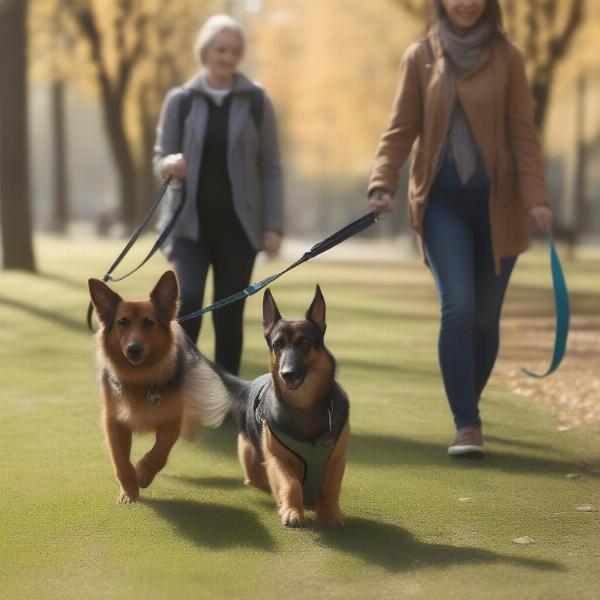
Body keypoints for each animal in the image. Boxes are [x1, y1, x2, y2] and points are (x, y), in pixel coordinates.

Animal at [88, 270, 231, 502]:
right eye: (122, 322)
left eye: (148, 323)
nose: (133, 349)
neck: (140, 378)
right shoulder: (114, 423)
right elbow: (121, 462)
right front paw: (129, 492)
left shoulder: (171, 421)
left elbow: (158, 453)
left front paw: (144, 473)